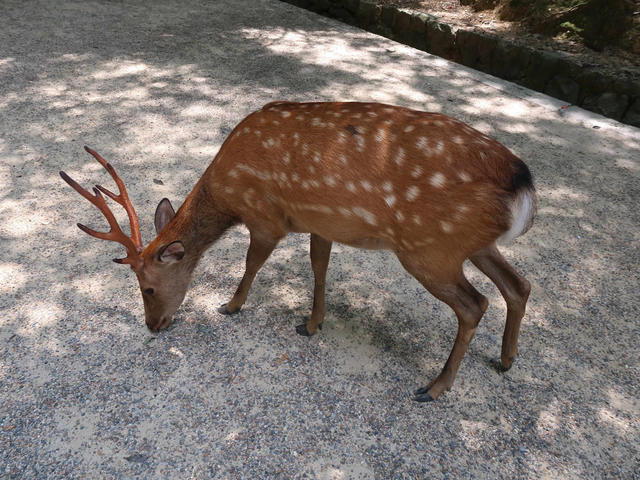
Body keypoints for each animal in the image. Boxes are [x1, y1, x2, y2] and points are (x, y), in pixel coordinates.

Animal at [62, 101, 536, 402]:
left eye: (146, 287)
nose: (153, 326)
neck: (227, 191)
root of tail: (523, 183)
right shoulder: (318, 222)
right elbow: (319, 266)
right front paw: (312, 323)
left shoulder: (265, 217)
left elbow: (252, 262)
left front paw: (230, 305)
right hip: (469, 243)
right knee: (519, 284)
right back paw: (507, 360)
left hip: (428, 248)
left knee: (475, 303)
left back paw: (435, 388)